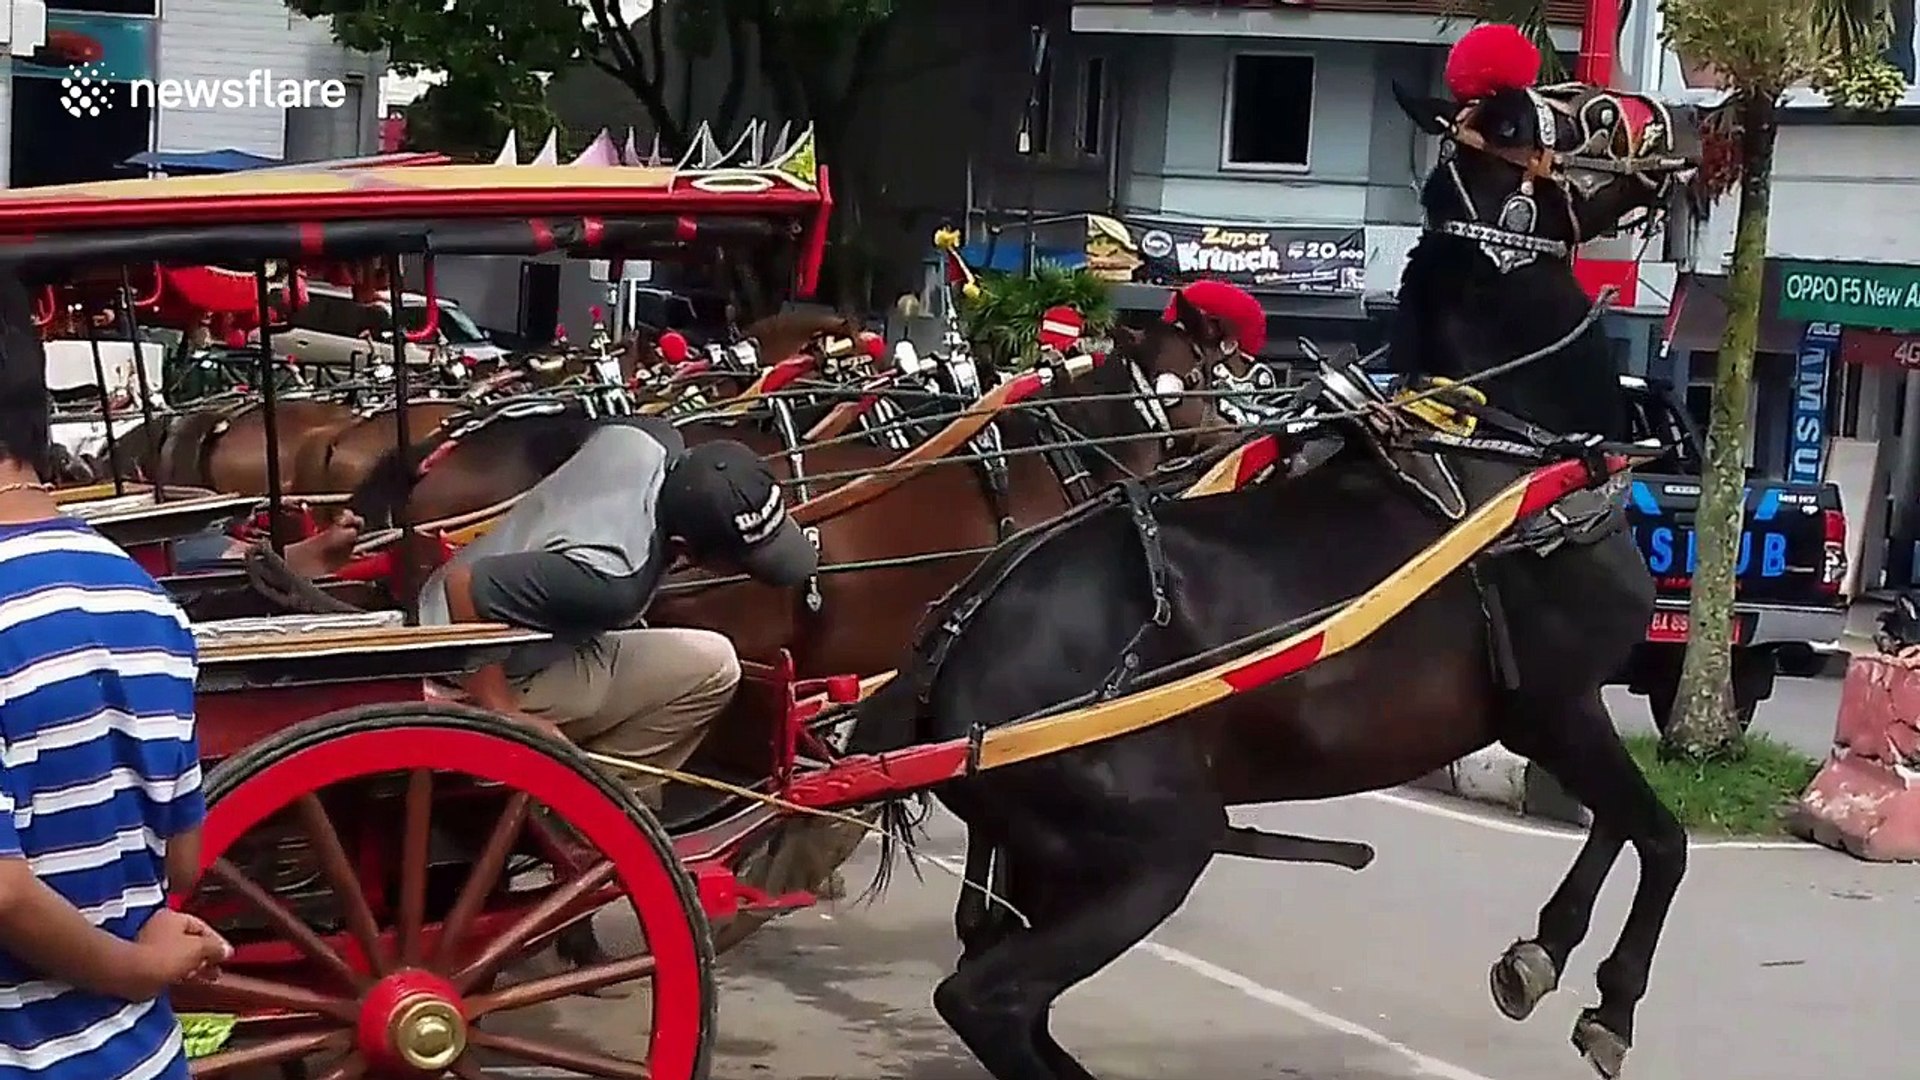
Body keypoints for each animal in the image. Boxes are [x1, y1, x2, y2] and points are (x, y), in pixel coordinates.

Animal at [848, 73, 1704, 1068]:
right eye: (1545, 116)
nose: (1672, 123)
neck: (1507, 450)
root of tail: (952, 646)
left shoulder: (1550, 718)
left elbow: (1614, 823)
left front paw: (1543, 950)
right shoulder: (1557, 705)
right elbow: (1661, 837)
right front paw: (1610, 999)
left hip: (1048, 857)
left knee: (998, 983)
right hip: (1151, 848)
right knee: (988, 997)